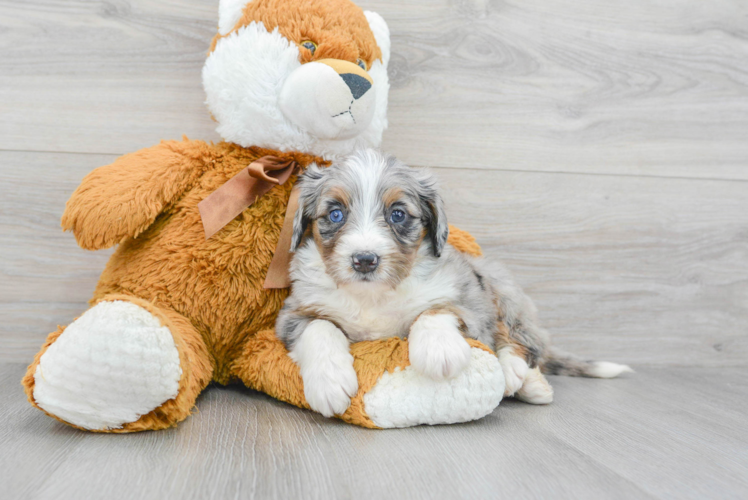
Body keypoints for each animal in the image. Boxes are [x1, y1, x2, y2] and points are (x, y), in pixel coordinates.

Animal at [276, 149, 632, 418]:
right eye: (335, 214)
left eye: (398, 214)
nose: (364, 260)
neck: (374, 296)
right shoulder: (292, 313)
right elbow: (320, 327)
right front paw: (329, 381)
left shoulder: (466, 299)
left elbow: (436, 310)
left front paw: (440, 350)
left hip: (501, 286)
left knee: (522, 340)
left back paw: (520, 377)